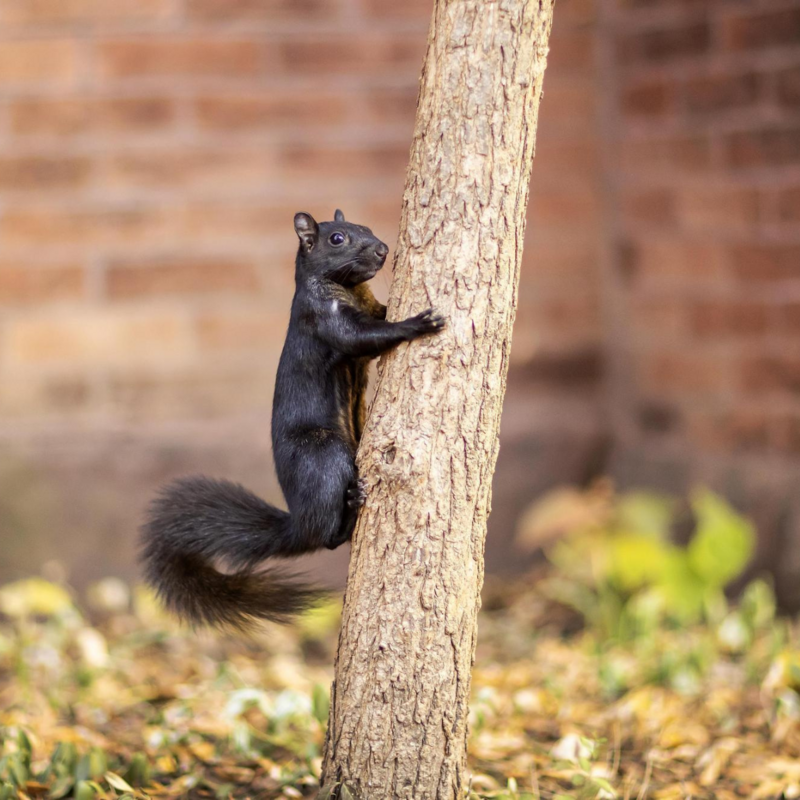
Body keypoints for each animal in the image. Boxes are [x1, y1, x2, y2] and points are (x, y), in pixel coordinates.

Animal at [141, 211, 446, 632]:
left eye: (366, 228)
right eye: (337, 238)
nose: (383, 249)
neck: (348, 289)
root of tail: (298, 523)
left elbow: (376, 322)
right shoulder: (320, 317)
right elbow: (361, 337)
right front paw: (418, 322)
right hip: (325, 455)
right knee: (327, 538)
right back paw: (351, 506)